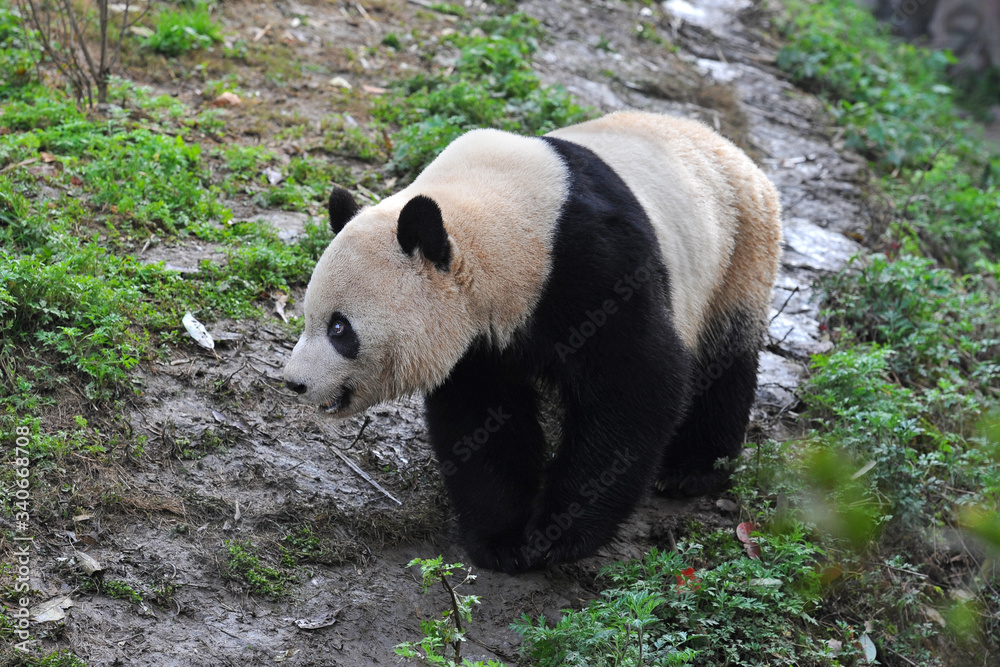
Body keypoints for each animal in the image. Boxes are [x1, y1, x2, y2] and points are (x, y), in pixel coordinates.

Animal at [283, 111, 782, 573]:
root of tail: (728, 147)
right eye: (308, 317)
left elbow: (636, 385)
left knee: (724, 361)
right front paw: (502, 538)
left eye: (340, 329)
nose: (294, 383)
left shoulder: (600, 268)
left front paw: (558, 534)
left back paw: (692, 470)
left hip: (737, 253)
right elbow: (483, 416)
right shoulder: (480, 339)